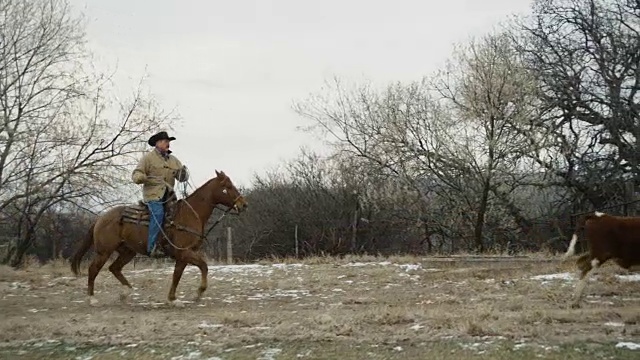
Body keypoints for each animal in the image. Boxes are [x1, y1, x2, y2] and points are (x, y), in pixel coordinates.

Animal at [69, 170, 248, 306]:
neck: (190, 214)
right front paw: (197, 293)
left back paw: (126, 292)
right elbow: (203, 267)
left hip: (128, 251)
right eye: (227, 186)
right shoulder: (184, 253)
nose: (243, 204)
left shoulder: (183, 256)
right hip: (104, 251)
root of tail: (100, 218)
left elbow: (177, 275)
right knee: (94, 269)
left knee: (115, 268)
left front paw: (173, 299)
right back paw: (92, 298)